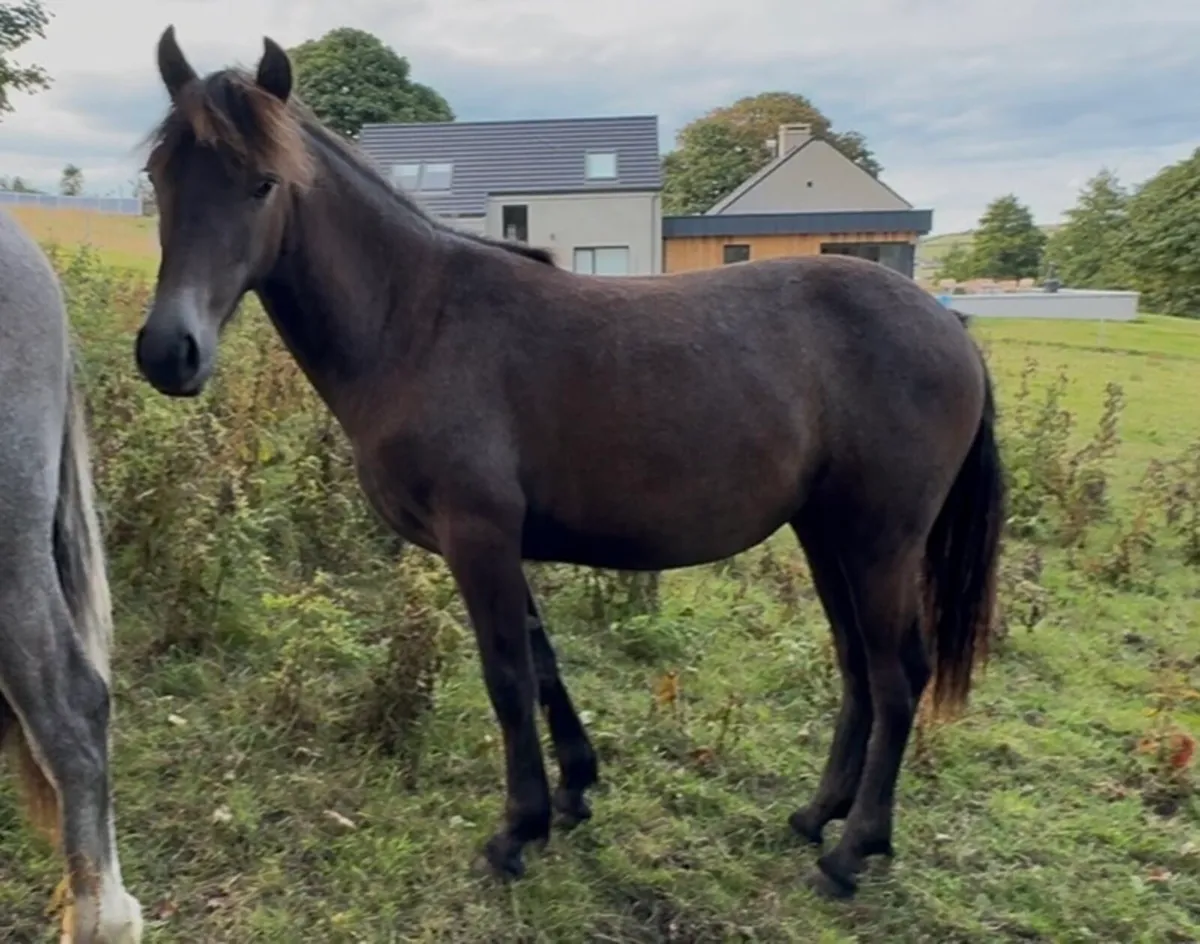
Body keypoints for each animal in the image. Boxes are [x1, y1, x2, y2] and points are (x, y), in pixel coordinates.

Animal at [133, 26, 1006, 899]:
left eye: (263, 183)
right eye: (159, 176)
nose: (170, 352)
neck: (418, 320)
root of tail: (951, 326)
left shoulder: (478, 535)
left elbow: (509, 676)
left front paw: (516, 832)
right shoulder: (502, 540)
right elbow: (543, 662)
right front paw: (574, 792)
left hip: (880, 542)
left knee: (898, 677)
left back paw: (852, 850)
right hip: (828, 535)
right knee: (858, 668)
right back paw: (816, 815)